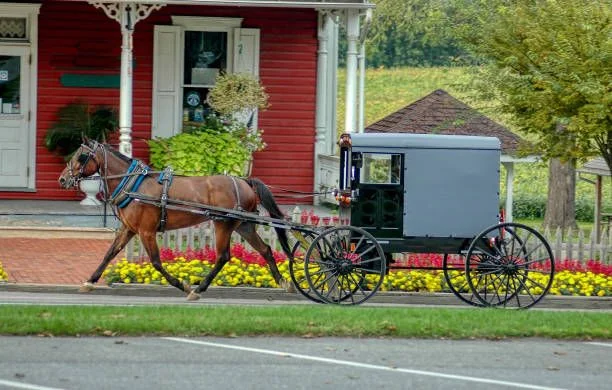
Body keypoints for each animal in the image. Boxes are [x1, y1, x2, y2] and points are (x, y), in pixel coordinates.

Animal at [58, 139, 294, 300]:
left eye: (80, 156)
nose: (62, 179)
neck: (133, 184)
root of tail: (244, 181)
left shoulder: (146, 231)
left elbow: (155, 261)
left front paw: (183, 285)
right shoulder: (129, 229)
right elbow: (109, 254)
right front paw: (89, 281)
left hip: (223, 224)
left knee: (223, 256)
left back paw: (198, 289)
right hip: (242, 225)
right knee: (265, 250)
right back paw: (284, 282)